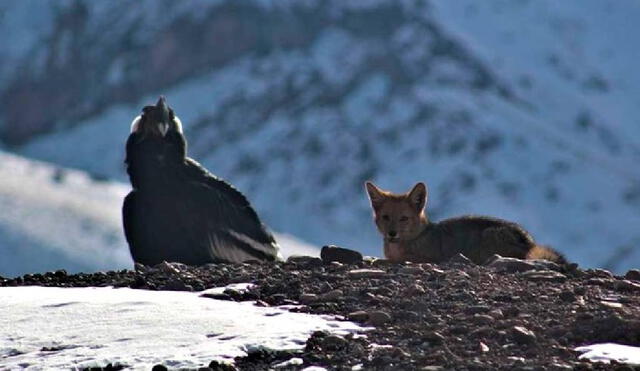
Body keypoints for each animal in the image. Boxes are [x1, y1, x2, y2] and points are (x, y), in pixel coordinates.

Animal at [364, 182, 564, 264]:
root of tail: (529, 241)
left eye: (404, 218)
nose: (392, 233)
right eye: (386, 217)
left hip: (488, 236)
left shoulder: (430, 258)